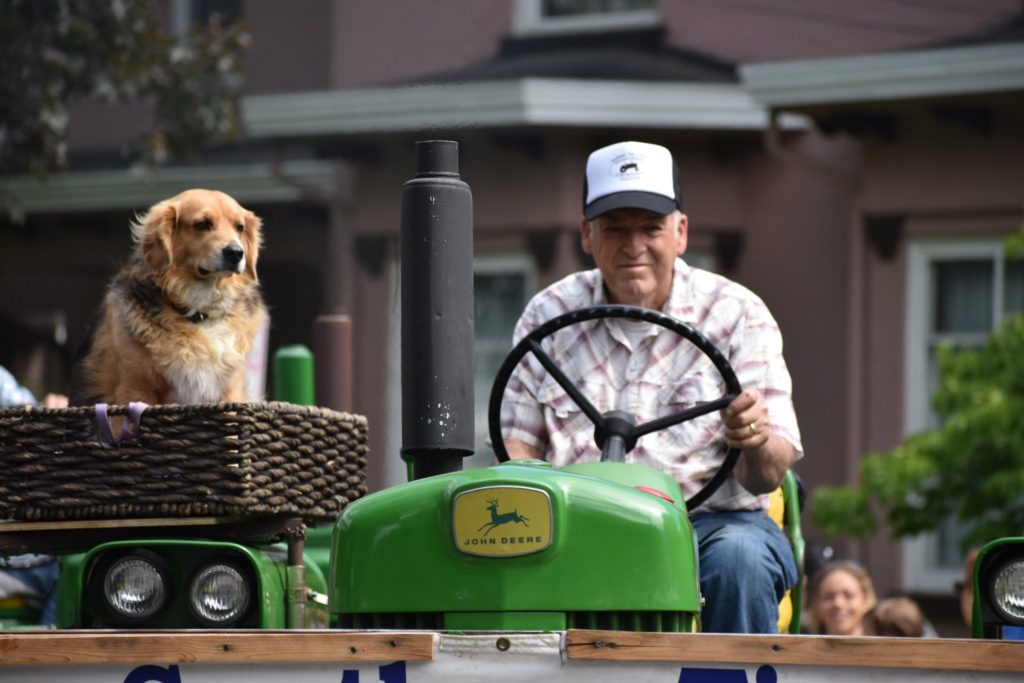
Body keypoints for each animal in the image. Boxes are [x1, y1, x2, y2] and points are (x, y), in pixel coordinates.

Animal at [75, 189, 268, 405]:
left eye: (239, 227)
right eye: (202, 224)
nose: (235, 253)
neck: (200, 313)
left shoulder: (230, 391)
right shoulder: (136, 388)